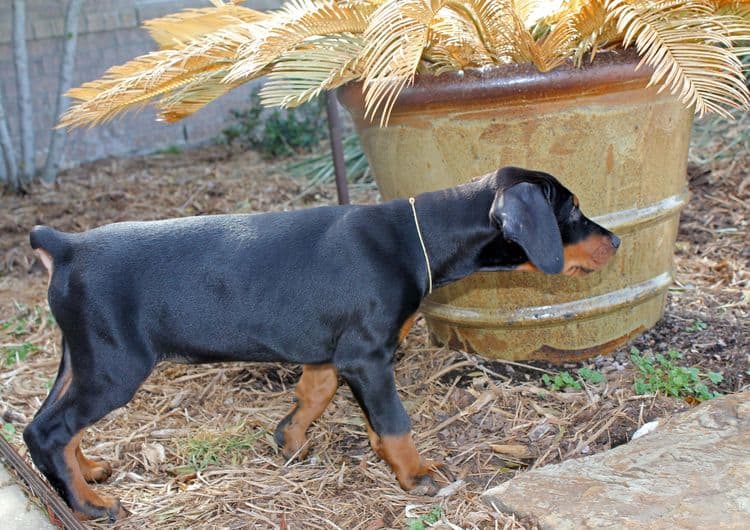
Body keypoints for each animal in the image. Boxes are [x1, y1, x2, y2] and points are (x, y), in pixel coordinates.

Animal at [25, 166, 624, 520]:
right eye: (570, 209)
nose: (617, 240)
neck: (417, 236)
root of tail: (67, 245)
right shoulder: (368, 355)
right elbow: (394, 421)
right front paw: (416, 475)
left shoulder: (333, 352)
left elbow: (314, 395)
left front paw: (289, 441)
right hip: (116, 366)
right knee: (51, 429)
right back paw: (89, 503)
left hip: (81, 357)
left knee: (48, 425)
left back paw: (85, 473)